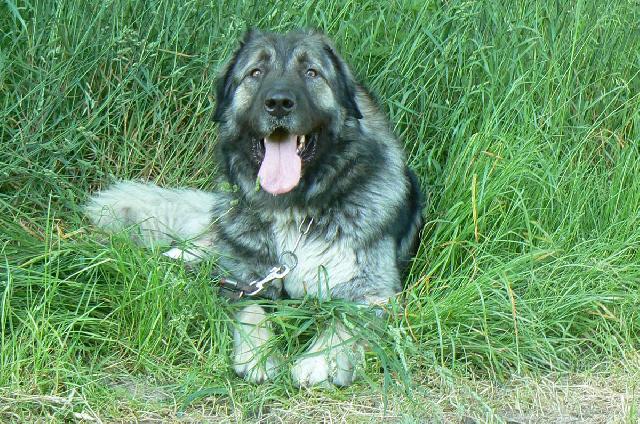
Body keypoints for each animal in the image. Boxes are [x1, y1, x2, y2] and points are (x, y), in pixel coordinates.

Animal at [85, 29, 423, 387]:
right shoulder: (243, 279)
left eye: (312, 72)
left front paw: (320, 359)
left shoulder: (375, 291)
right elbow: (251, 311)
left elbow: (346, 320)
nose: (278, 103)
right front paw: (259, 353)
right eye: (256, 72)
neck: (293, 210)